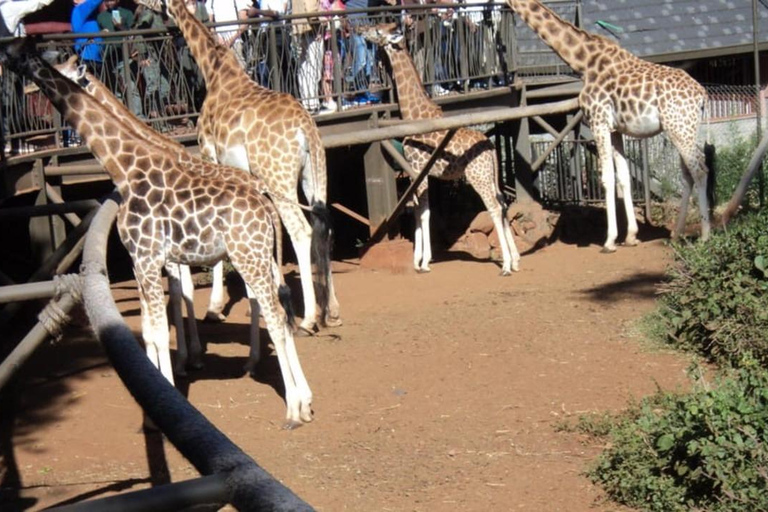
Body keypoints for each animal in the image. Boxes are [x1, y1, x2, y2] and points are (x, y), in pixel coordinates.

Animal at [3, 40, 314, 426]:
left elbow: (160, 327)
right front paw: (159, 401)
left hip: (248, 256)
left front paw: (168, 397)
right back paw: (301, 397)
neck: (124, 167)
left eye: (26, 53)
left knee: (274, 314)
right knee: (279, 310)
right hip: (257, 255)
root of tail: (264, 202)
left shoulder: (149, 257)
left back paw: (293, 407)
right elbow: (152, 330)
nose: (7, 58)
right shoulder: (142, 262)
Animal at [164, 0, 340, 336]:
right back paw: (331, 311)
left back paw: (309, 318)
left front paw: (215, 308)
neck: (214, 71)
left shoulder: (209, 156)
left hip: (279, 175)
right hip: (313, 173)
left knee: (301, 231)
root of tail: (306, 127)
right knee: (323, 225)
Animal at [360, 23, 520, 276]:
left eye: (378, 31)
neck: (414, 115)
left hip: (477, 176)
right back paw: (515, 260)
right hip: (491, 176)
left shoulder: (418, 169)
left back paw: (504, 266)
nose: (361, 29)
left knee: (494, 207)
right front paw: (417, 260)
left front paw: (424, 262)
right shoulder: (416, 173)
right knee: (503, 203)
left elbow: (425, 213)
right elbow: (417, 212)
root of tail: (491, 148)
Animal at [508, 0, 712, 252]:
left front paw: (609, 241)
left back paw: (705, 235)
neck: (583, 62)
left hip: (679, 128)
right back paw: (676, 234)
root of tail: (702, 95)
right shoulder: (616, 130)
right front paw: (631, 236)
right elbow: (623, 178)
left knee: (699, 169)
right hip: (685, 128)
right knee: (688, 173)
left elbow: (607, 178)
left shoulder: (599, 122)